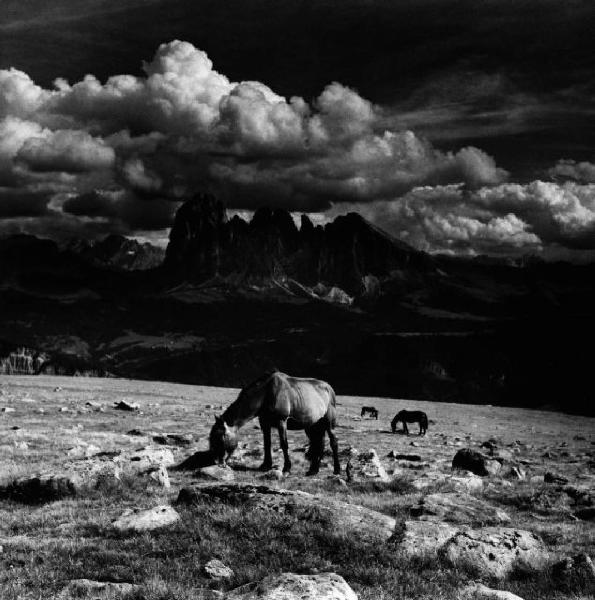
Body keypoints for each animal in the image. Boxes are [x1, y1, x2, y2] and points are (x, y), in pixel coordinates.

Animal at [210, 368, 340, 476]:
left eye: (220, 436)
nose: (216, 461)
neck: (266, 394)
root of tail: (329, 388)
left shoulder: (281, 422)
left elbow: (284, 444)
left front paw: (286, 468)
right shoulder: (264, 423)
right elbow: (267, 443)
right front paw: (265, 465)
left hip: (328, 423)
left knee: (333, 442)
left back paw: (336, 470)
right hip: (312, 426)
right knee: (318, 444)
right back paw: (313, 470)